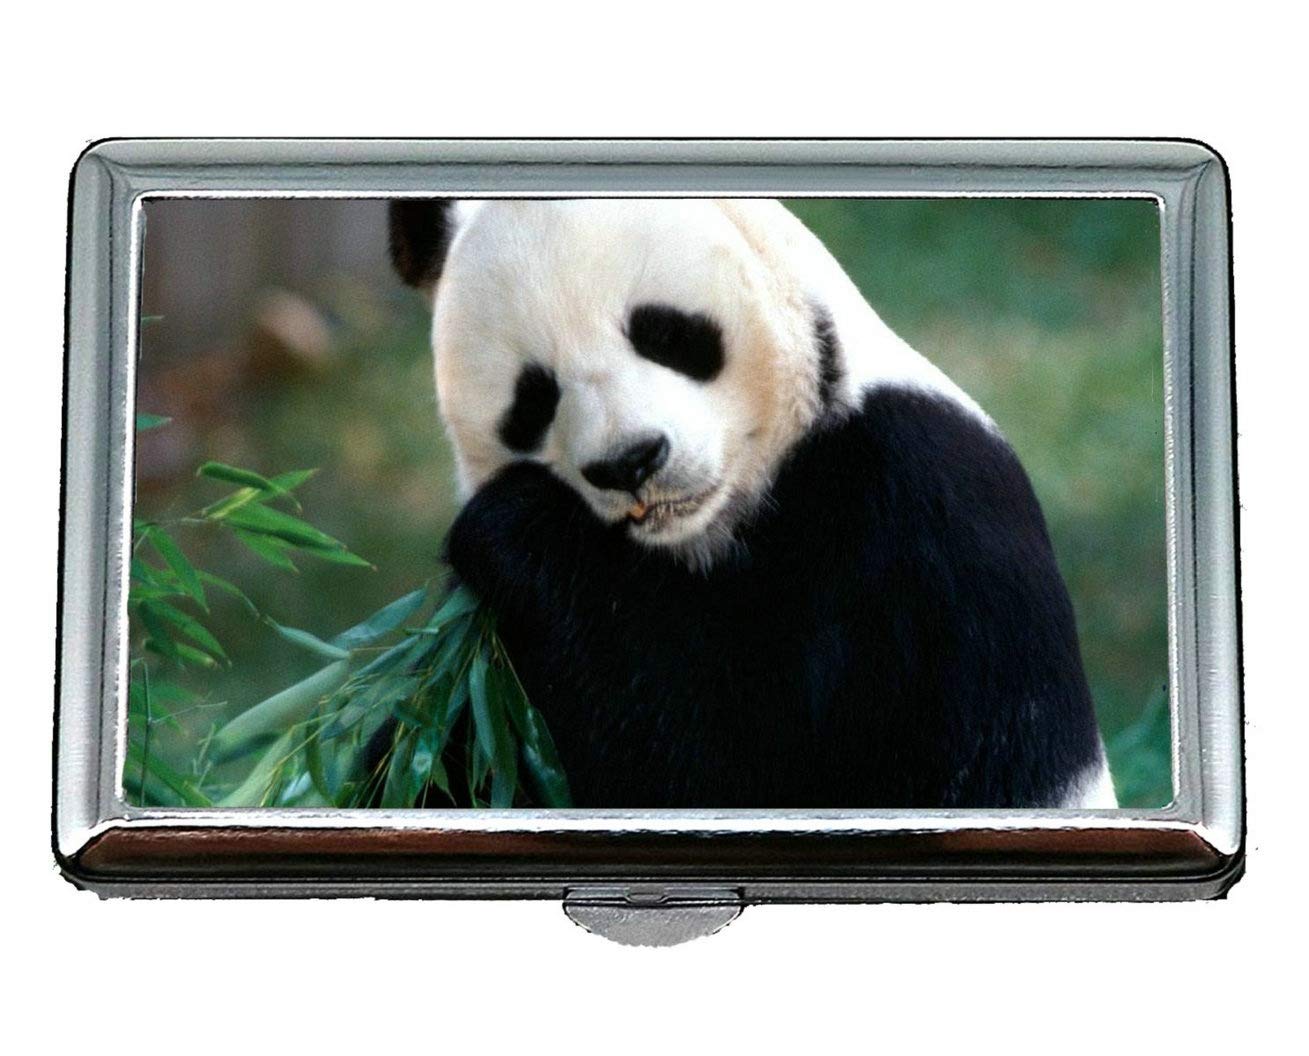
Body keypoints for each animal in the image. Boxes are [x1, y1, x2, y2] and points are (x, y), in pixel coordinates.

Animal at [388, 197, 1117, 810]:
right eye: (534, 398)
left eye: (663, 333)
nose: (630, 462)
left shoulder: (924, 523)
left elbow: (728, 767)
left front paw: (515, 525)